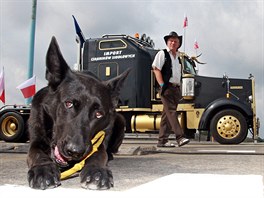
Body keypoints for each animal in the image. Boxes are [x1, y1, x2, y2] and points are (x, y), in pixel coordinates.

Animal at [27, 36, 130, 189]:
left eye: (99, 114)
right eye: (68, 104)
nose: (75, 151)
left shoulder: (99, 142)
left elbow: (99, 154)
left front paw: (96, 170)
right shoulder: (36, 139)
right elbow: (37, 153)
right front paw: (43, 168)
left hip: (121, 120)